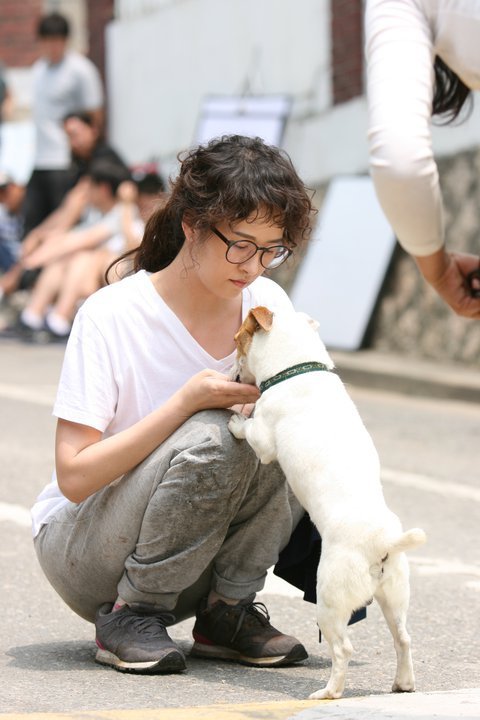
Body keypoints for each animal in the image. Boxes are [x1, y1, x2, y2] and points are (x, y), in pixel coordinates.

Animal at [229, 306, 428, 700]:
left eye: (237, 339)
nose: (232, 372)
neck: (298, 367)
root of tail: (384, 543)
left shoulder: (265, 440)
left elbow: (250, 428)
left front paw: (235, 418)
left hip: (330, 599)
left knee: (343, 648)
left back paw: (329, 692)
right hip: (394, 596)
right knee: (403, 638)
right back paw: (403, 683)